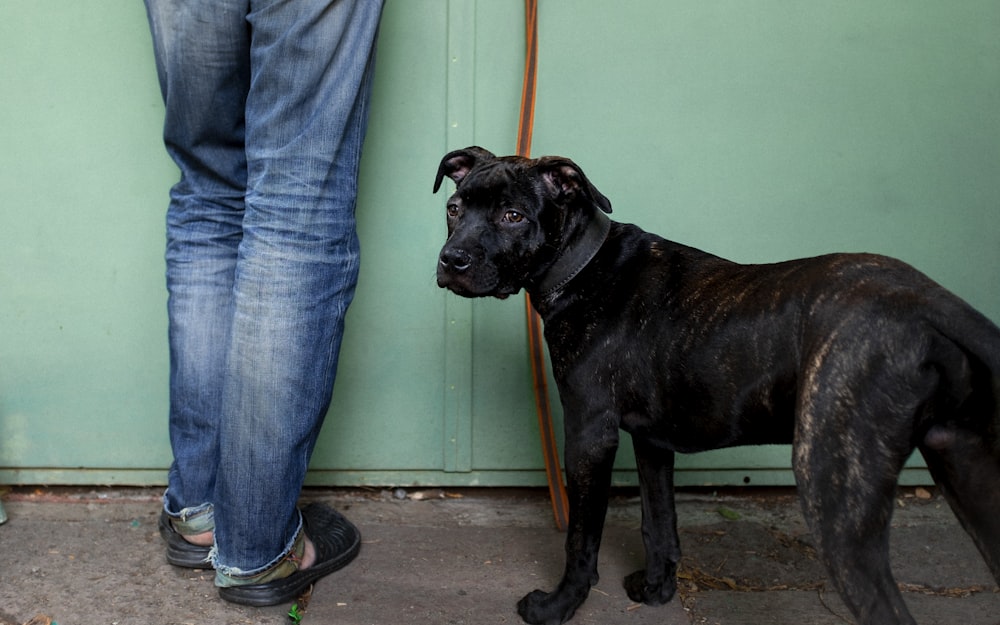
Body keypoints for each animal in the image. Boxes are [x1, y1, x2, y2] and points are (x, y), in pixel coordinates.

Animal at [436, 147, 1000, 624]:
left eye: (513, 216)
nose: (451, 261)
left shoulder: (590, 434)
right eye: (454, 208)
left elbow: (581, 537)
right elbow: (659, 522)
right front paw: (658, 590)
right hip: (967, 473)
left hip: (835, 493)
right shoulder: (652, 441)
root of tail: (930, 303)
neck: (584, 264)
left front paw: (559, 606)